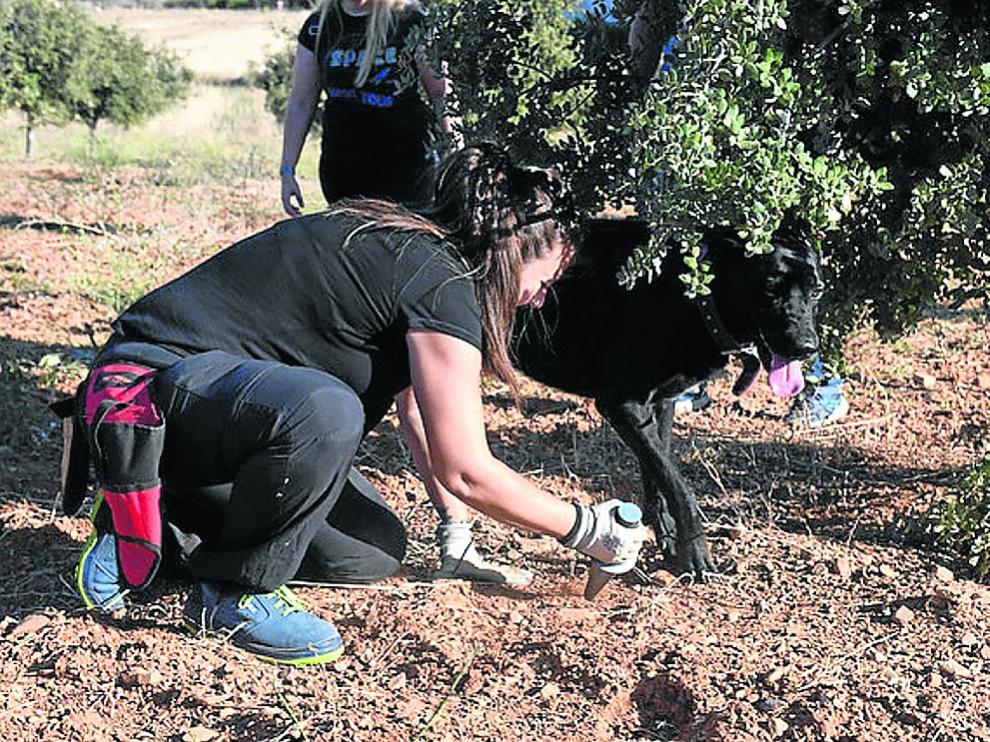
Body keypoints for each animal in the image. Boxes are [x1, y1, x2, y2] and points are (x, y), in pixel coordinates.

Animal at [516, 218, 824, 580]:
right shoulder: (621, 404)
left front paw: (668, 541)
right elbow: (677, 484)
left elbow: (657, 473)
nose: (806, 347)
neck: (693, 299)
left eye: (816, 291)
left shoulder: (661, 403)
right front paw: (695, 553)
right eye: (770, 288)